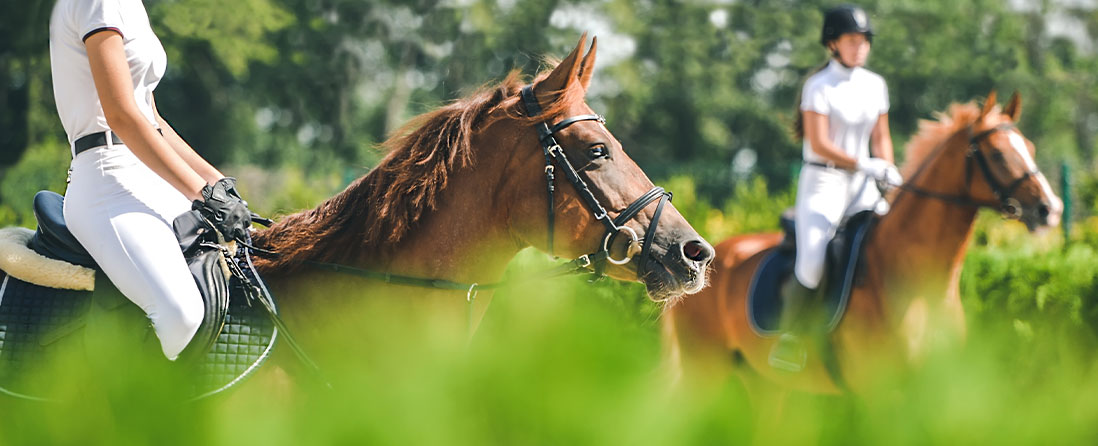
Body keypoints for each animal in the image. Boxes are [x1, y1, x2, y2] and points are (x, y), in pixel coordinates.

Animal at [662, 91, 1062, 405]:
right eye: (997, 155)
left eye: (1030, 148)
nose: (1050, 209)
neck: (917, 283)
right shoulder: (879, 394)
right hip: (705, 372)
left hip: (765, 384)